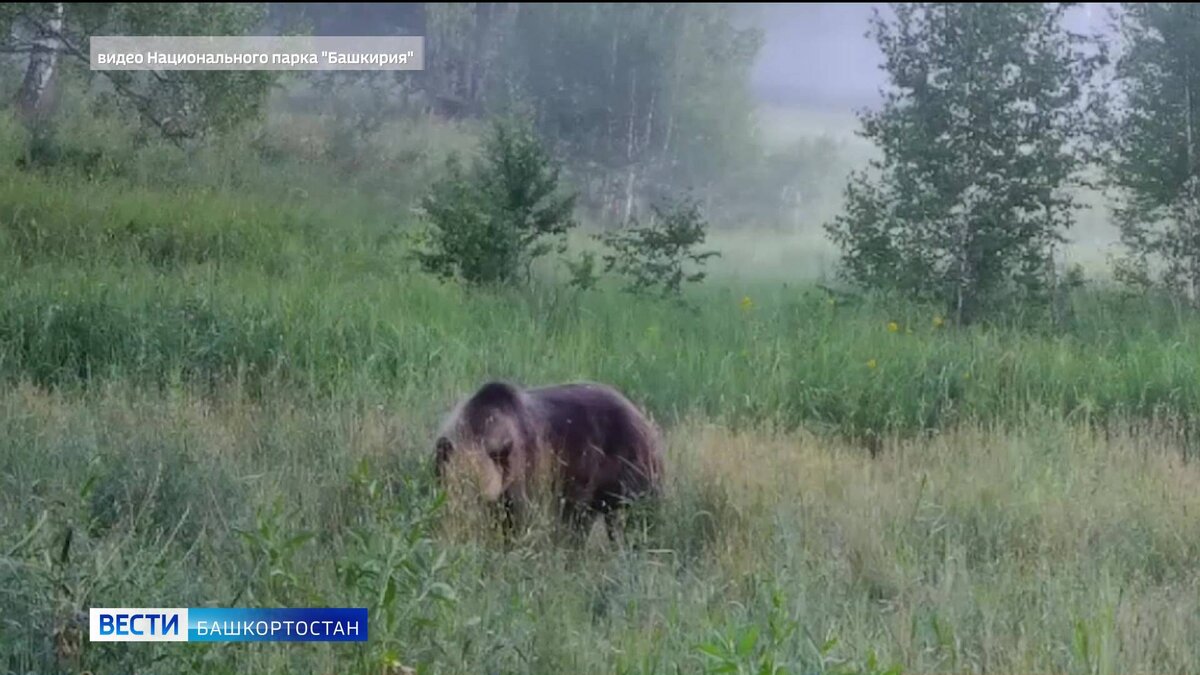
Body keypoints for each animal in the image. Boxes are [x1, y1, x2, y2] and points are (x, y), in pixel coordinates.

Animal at [436, 379, 667, 540]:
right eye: (456, 488)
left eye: (480, 494)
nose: (466, 520)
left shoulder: (525, 466)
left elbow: (517, 519)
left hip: (629, 464)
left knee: (638, 515)